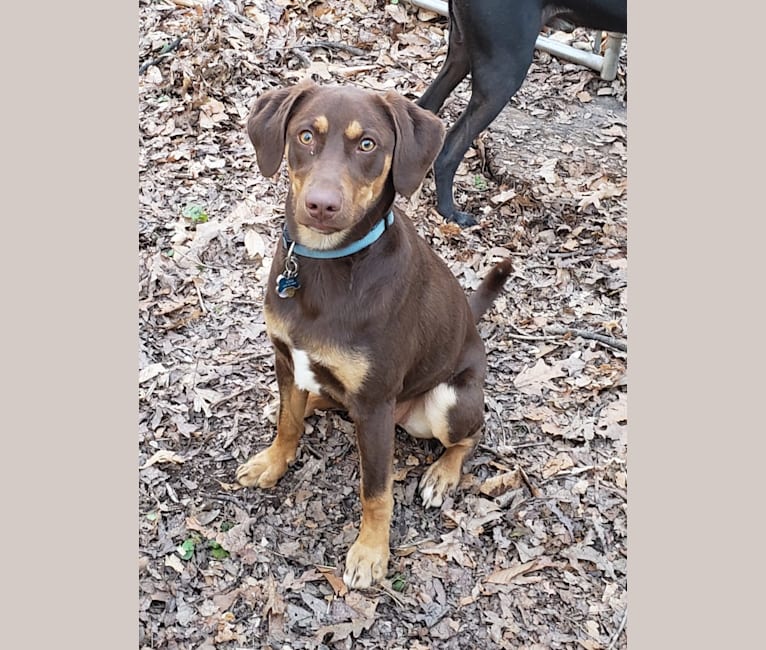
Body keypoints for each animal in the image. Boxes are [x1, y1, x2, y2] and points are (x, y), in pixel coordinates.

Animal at [238, 79, 516, 588]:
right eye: (305, 135)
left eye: (367, 144)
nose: (321, 206)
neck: (326, 263)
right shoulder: (286, 358)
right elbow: (287, 423)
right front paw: (273, 461)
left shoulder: (374, 403)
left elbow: (376, 490)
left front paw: (370, 553)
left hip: (446, 401)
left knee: (472, 434)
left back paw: (443, 473)